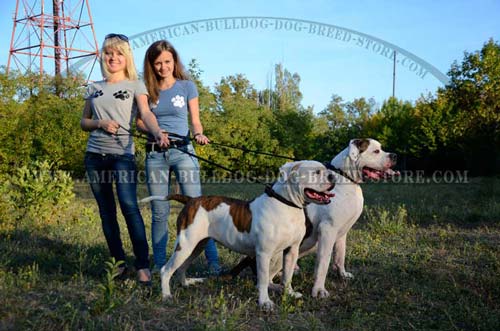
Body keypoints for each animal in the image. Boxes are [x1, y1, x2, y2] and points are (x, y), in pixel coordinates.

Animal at [142, 161, 336, 312]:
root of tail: (190, 200)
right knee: (166, 270)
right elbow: (263, 279)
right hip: (185, 244)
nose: (333, 176)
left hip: (197, 246)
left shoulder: (291, 250)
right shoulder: (263, 254)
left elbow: (287, 275)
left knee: (181, 267)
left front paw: (289, 292)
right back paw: (166, 295)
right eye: (317, 172)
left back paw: (186, 284)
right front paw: (265, 302)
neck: (287, 204)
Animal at [229, 139, 398, 300]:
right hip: (275, 254)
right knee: (264, 280)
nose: (395, 155)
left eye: (381, 148)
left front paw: (342, 274)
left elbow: (340, 256)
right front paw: (319, 290)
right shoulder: (328, 231)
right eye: (376, 151)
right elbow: (323, 263)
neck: (346, 179)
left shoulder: (342, 233)